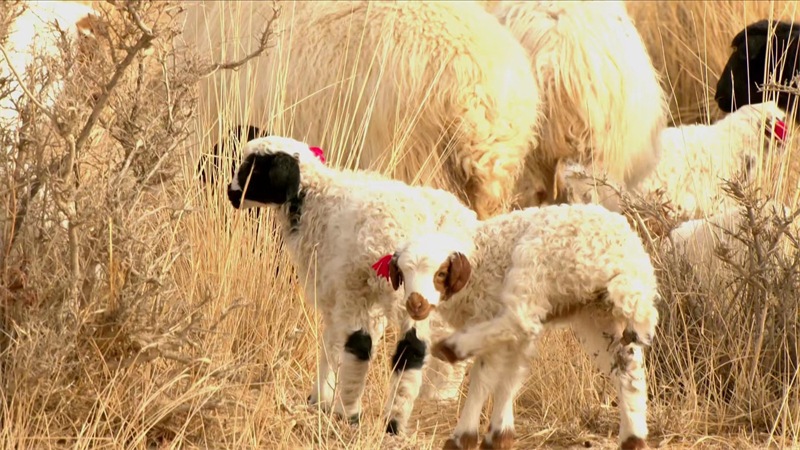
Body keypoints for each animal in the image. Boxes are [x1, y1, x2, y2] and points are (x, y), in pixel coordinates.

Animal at [223, 136, 482, 432]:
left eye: (253, 168)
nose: (231, 193)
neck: (315, 199)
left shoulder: (339, 292)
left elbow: (333, 344)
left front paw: (321, 399)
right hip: (427, 296)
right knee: (420, 349)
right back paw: (409, 413)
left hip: (366, 289)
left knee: (365, 346)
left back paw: (352, 412)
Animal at [384, 205, 660, 450]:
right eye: (403, 273)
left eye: (440, 274)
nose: (415, 304)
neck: (478, 260)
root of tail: (621, 255)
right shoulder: (516, 339)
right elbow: (512, 375)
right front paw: (499, 436)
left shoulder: (487, 311)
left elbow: (484, 377)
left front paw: (464, 438)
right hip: (598, 313)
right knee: (627, 368)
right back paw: (634, 438)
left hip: (534, 263)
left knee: (519, 318)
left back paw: (453, 347)